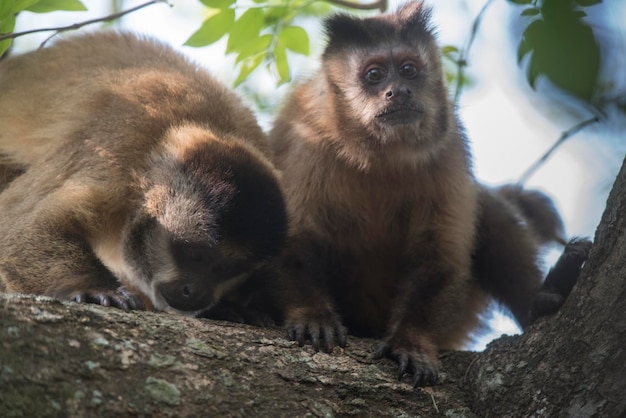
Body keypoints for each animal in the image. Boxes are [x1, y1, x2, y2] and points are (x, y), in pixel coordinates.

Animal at [0, 30, 286, 314]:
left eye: (228, 269)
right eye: (196, 254)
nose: (196, 293)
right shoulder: (122, 145)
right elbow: (19, 222)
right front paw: (90, 286)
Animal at [268, 2, 588, 388]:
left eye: (408, 70)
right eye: (374, 75)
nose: (398, 91)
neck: (377, 157)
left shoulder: (449, 149)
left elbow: (438, 258)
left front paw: (412, 342)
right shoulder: (308, 140)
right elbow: (292, 239)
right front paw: (312, 314)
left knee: (487, 209)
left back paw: (539, 302)